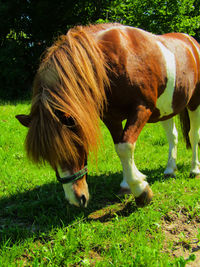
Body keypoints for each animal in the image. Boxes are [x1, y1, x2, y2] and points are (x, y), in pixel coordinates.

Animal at [16, 23, 200, 208]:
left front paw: (140, 190)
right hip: (166, 109)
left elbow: (125, 147)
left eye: (75, 145)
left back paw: (194, 169)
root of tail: (192, 43)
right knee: (173, 136)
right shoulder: (111, 118)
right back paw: (170, 170)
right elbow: (120, 147)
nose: (76, 199)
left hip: (194, 103)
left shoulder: (142, 109)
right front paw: (127, 185)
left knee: (193, 135)